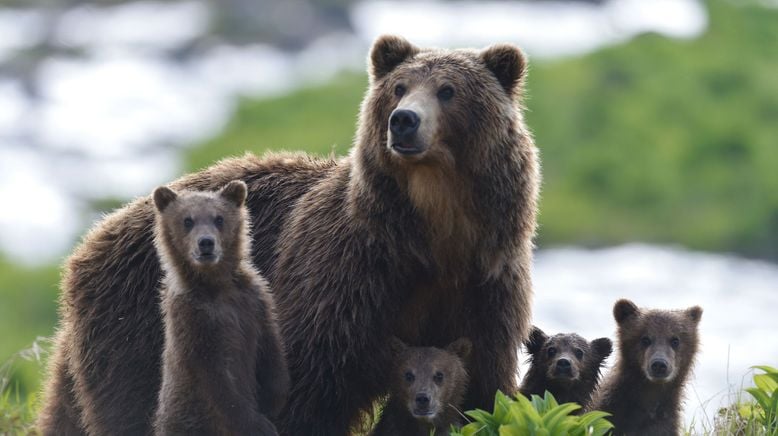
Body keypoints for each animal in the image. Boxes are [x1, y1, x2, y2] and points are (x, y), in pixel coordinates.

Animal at [39, 35, 536, 436]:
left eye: (448, 90)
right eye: (398, 87)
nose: (404, 120)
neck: (435, 235)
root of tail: (93, 239)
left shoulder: (485, 286)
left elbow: (483, 387)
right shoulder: (348, 277)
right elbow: (306, 384)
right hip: (136, 326)